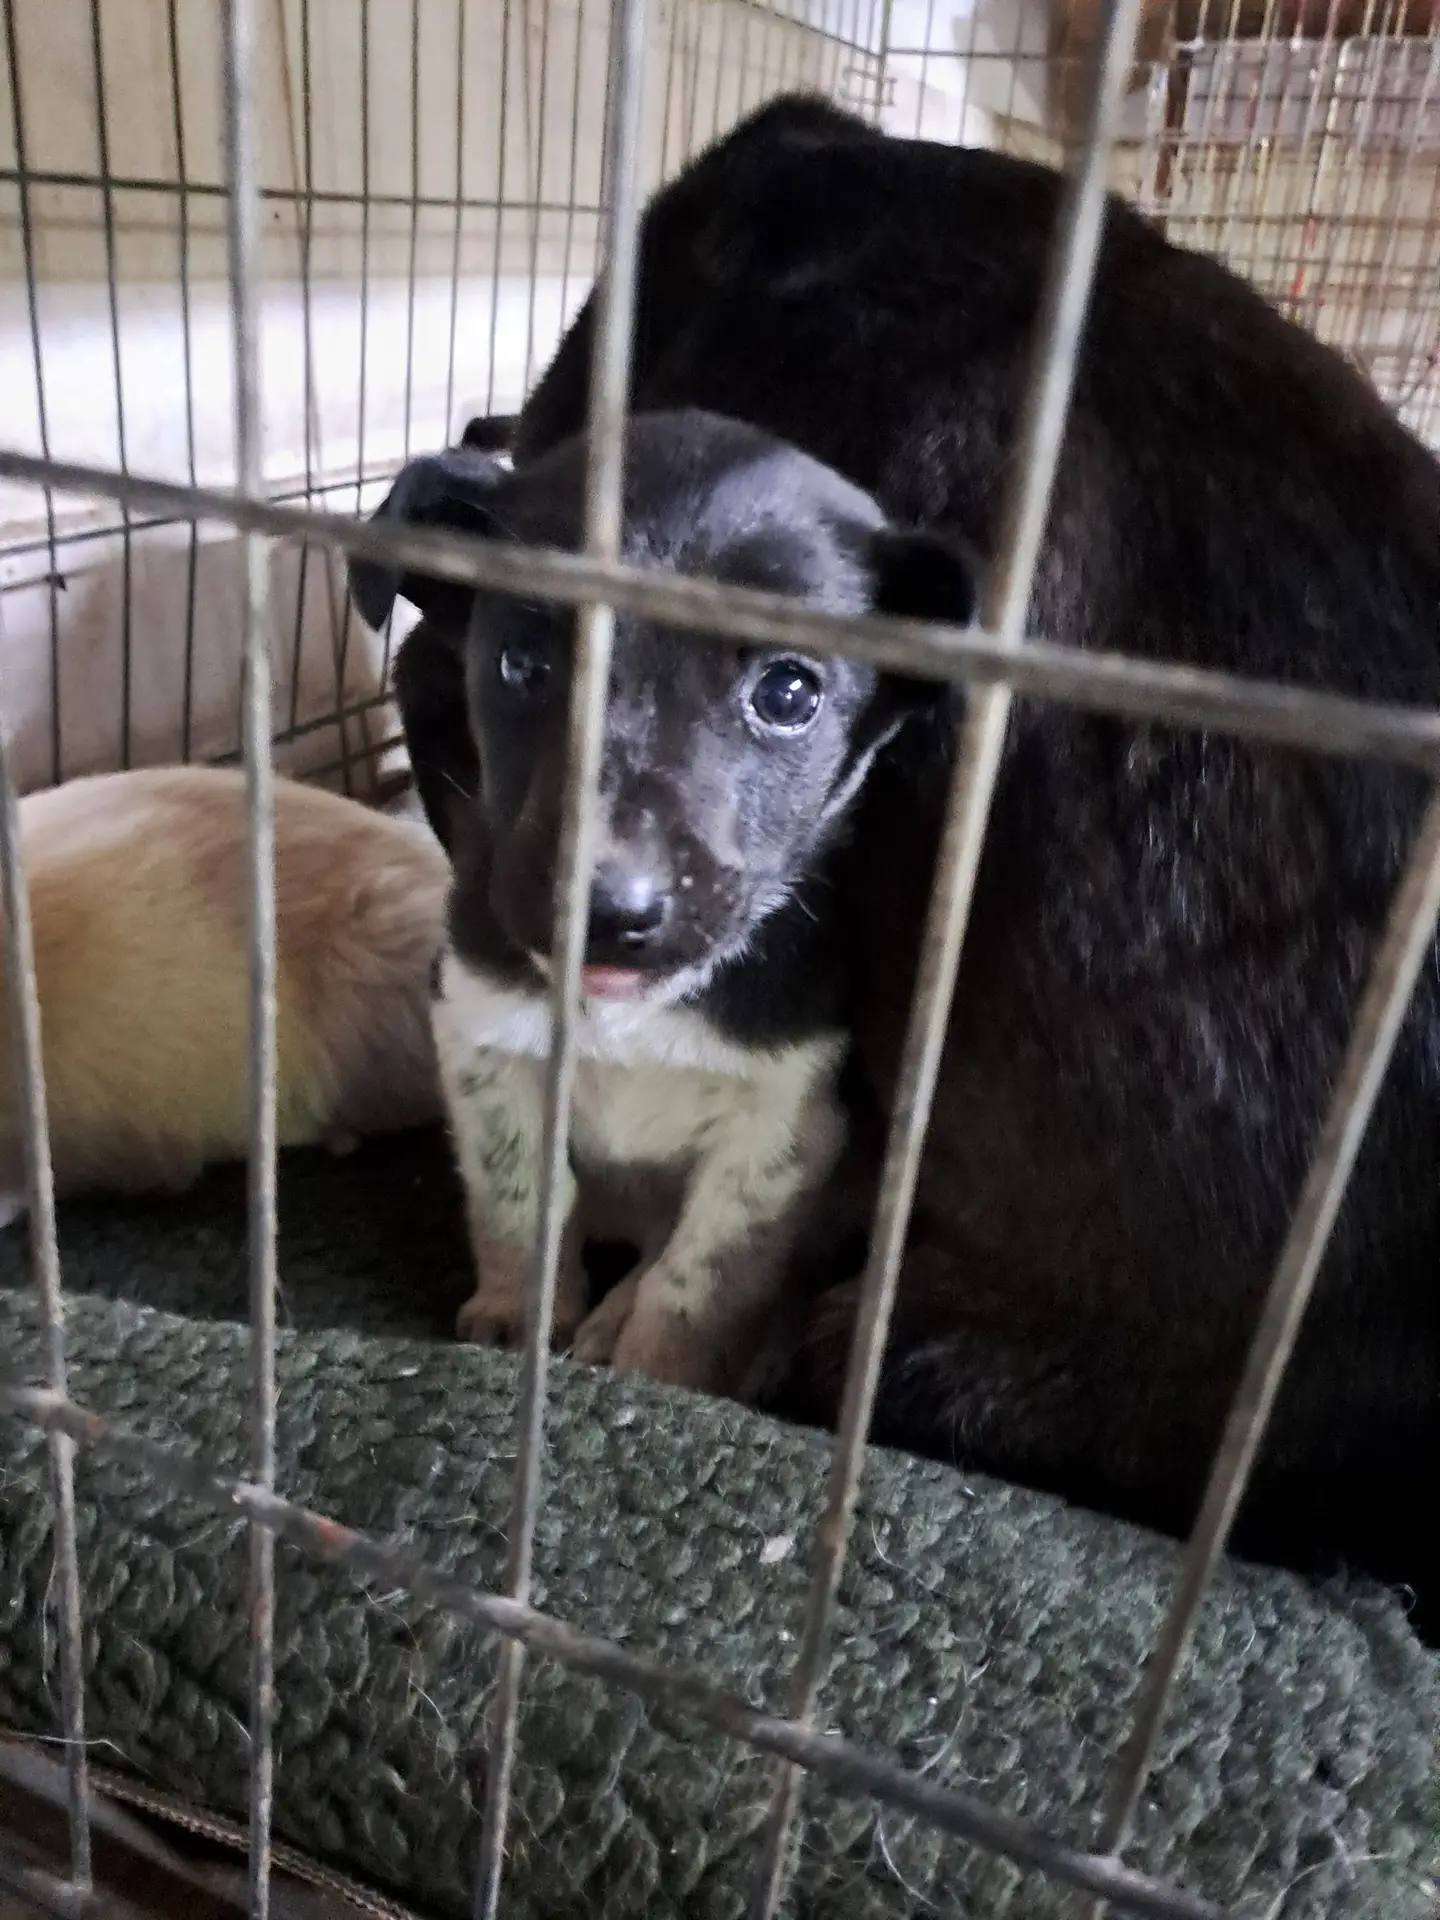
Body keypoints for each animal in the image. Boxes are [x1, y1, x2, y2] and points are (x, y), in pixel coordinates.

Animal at [349, 409, 975, 1394]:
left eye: (789, 693)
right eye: (522, 662)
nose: (607, 910)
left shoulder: (786, 1127)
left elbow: (701, 1278)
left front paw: (652, 1369)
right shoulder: (483, 1034)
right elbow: (521, 1199)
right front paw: (519, 1318)